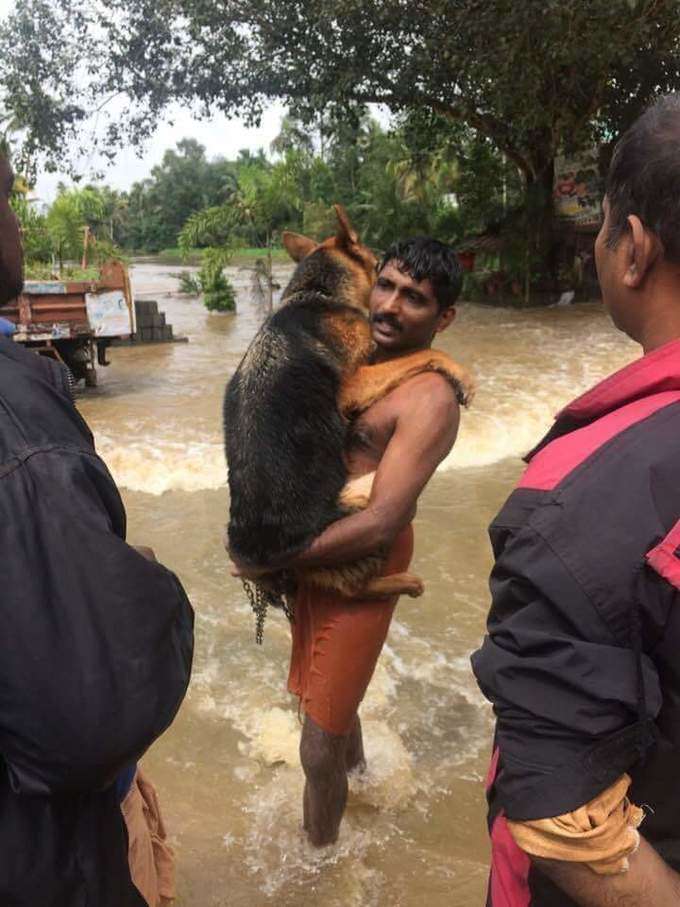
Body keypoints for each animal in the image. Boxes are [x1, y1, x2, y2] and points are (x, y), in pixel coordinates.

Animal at [226, 207, 422, 640]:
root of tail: (267, 554)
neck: (318, 292)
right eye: (377, 264)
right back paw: (404, 582)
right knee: (354, 587)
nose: (382, 255)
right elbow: (421, 357)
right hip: (363, 524)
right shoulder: (355, 382)